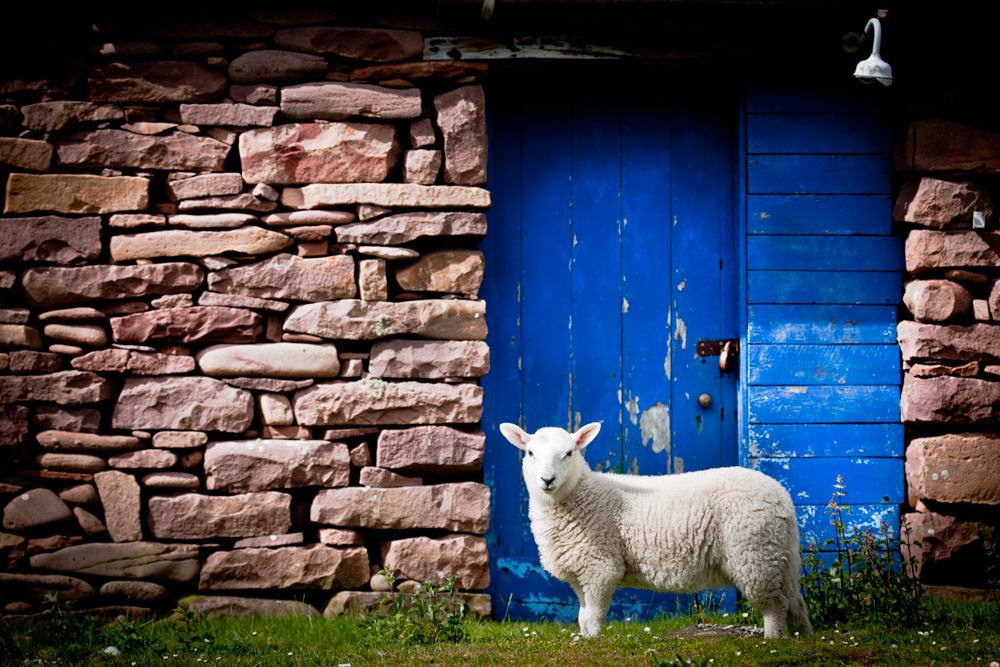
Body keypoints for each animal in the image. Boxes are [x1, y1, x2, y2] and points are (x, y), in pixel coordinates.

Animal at [498, 420, 812, 640]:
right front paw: (584, 640)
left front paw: (593, 642)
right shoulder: (581, 572)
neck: (580, 496)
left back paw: (772, 641)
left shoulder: (601, 568)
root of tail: (782, 496)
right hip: (778, 554)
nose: (547, 480)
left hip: (755, 554)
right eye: (529, 452)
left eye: (569, 453)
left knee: (775, 605)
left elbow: (593, 617)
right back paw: (801, 638)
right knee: (795, 601)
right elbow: (582, 617)